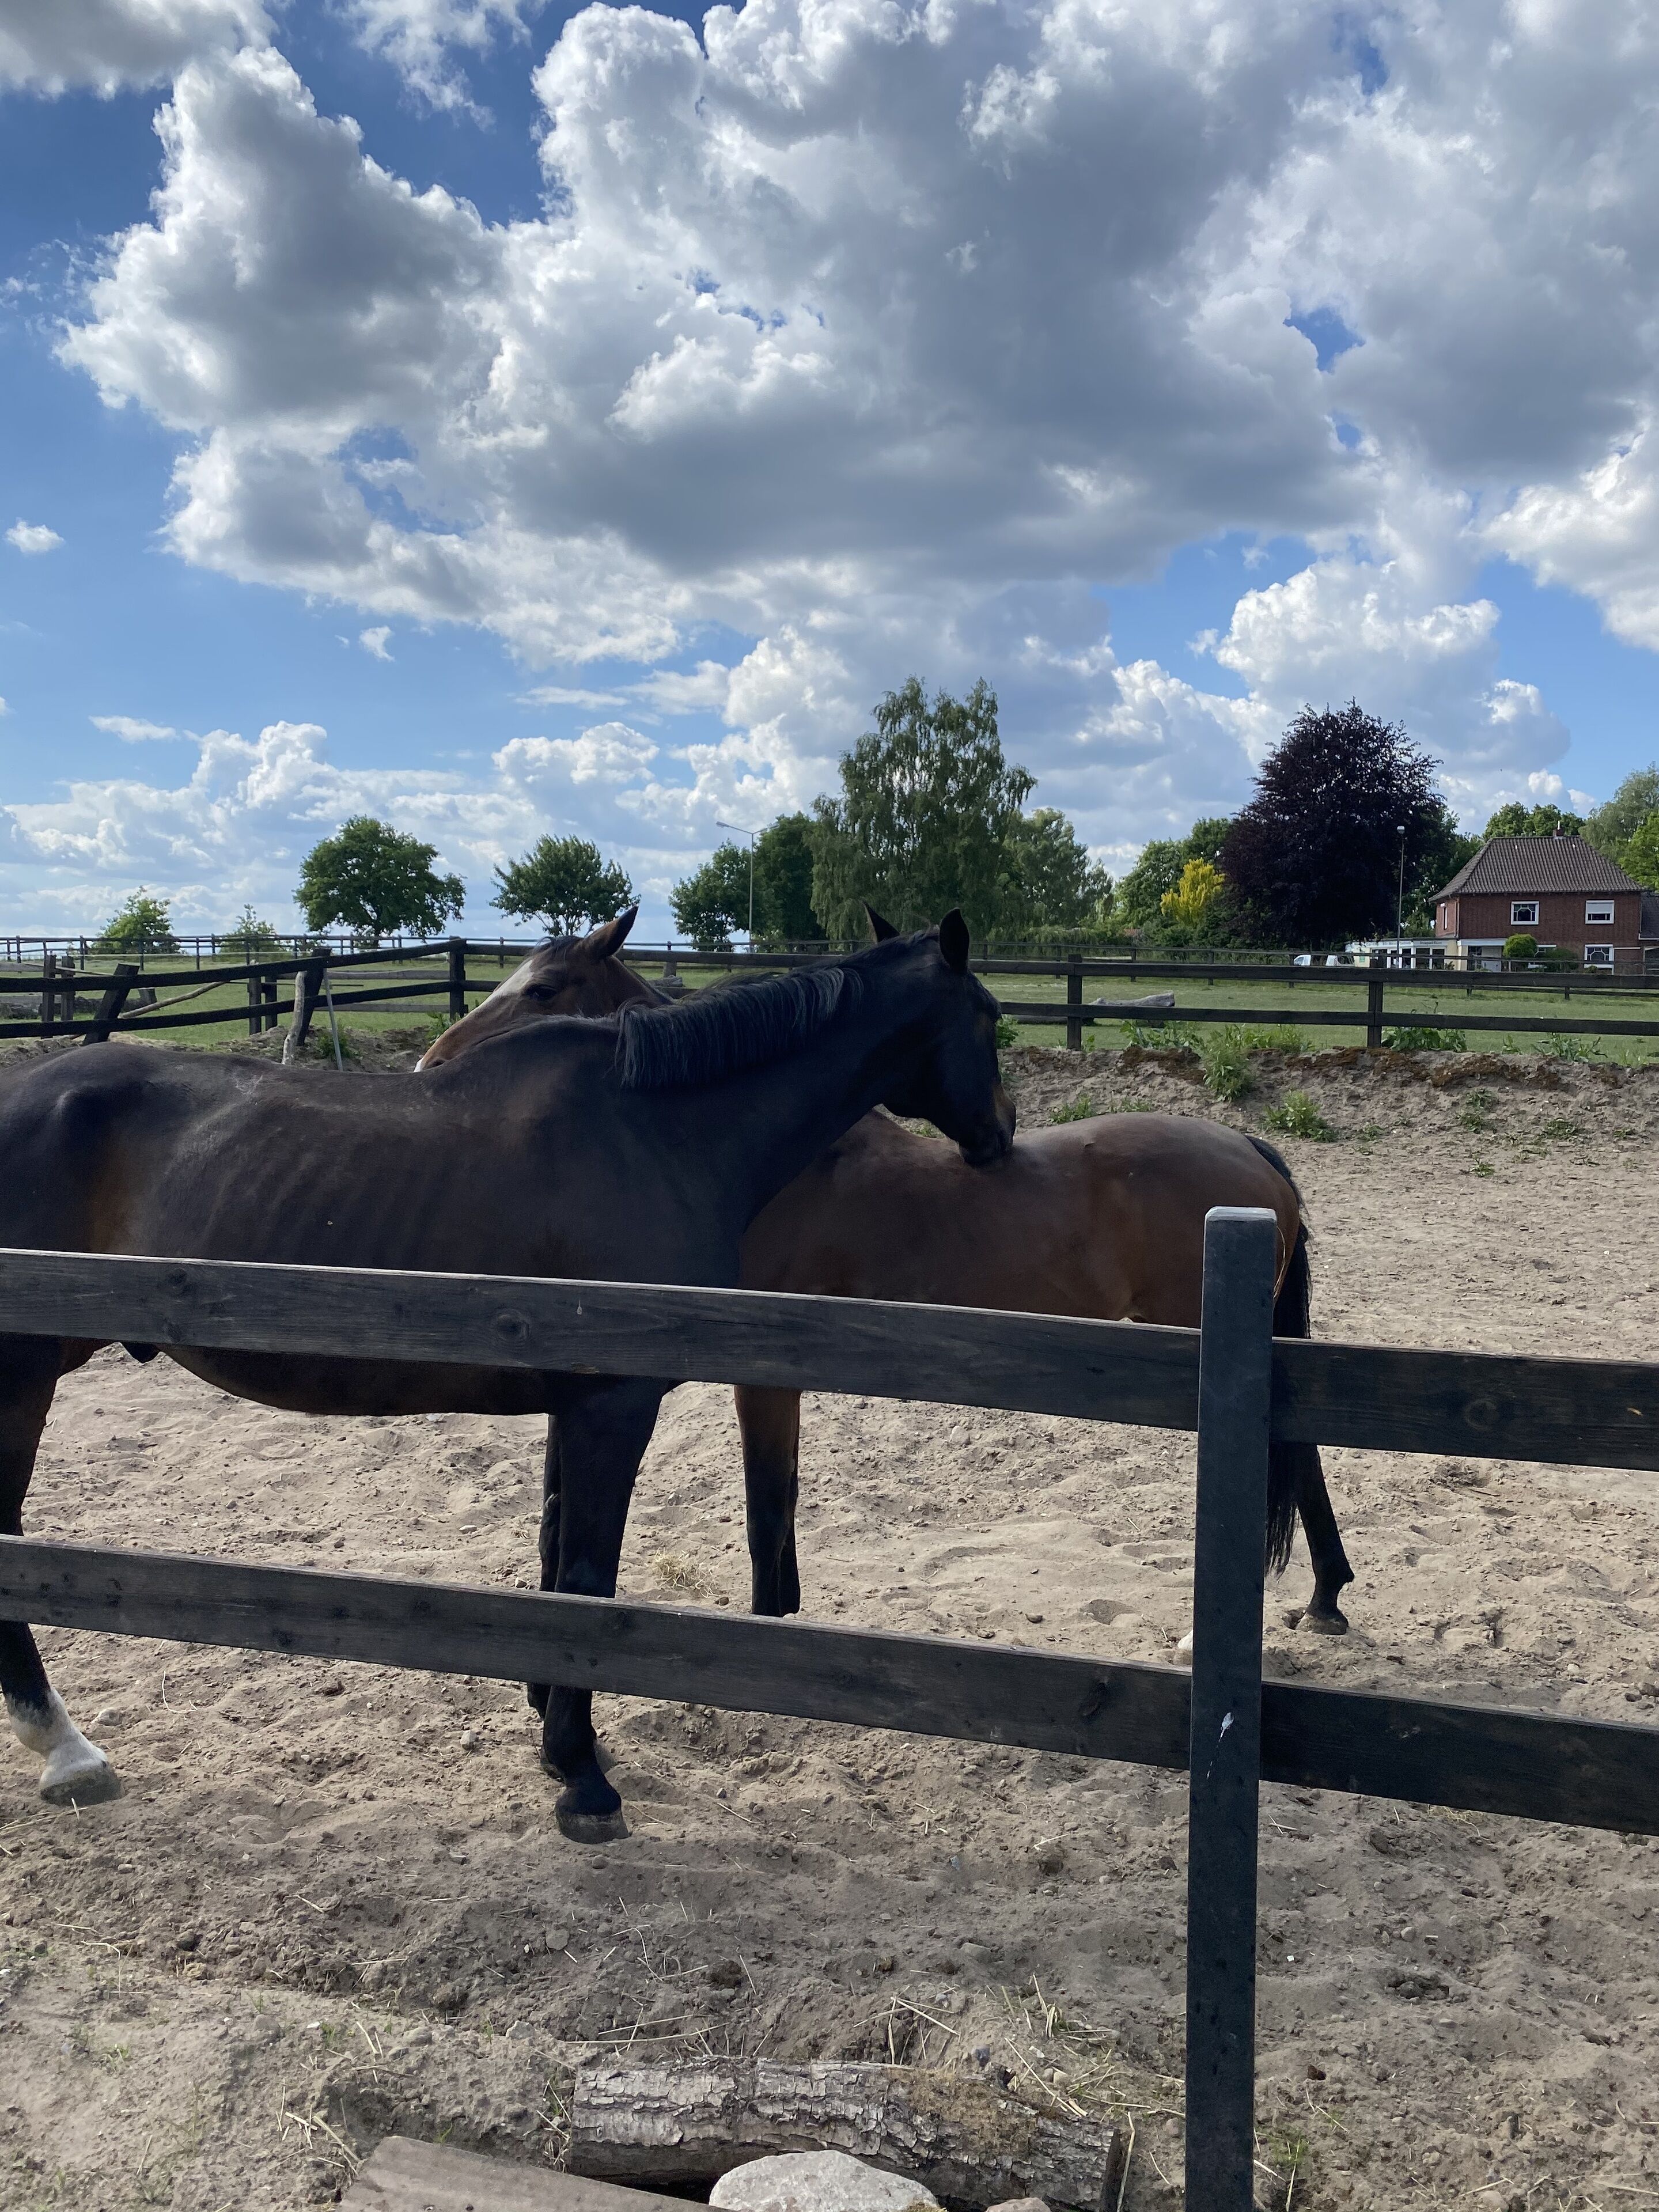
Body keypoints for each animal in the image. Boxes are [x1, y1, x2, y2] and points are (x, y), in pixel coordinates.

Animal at [0, 917, 1012, 1840]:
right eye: (991, 1017)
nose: (998, 1139)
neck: (658, 1133)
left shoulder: (575, 1405)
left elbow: (557, 1555)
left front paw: (555, 1731)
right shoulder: (612, 1404)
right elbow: (589, 1579)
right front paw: (583, 1775)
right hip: (22, 1375)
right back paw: (66, 1750)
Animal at [426, 914, 1355, 1642]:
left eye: (544, 989)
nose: (434, 1065)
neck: (772, 1158)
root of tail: (1251, 1150)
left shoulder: (763, 1374)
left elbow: (768, 1512)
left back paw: (1325, 1596)